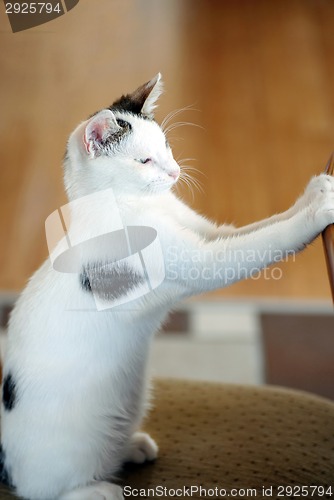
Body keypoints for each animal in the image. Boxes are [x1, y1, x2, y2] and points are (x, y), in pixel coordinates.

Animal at [0, 72, 334, 498]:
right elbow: (264, 241)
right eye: (144, 160)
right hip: (64, 455)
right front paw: (318, 212)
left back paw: (132, 446)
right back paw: (98, 488)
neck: (133, 205)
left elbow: (260, 226)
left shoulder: (208, 233)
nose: (175, 172)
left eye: (167, 147)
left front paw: (314, 192)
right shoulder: (203, 262)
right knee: (46, 491)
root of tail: (8, 466)